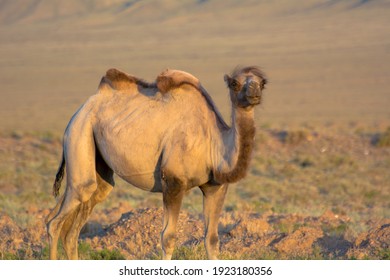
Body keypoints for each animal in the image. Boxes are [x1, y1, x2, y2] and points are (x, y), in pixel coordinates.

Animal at [44, 65, 266, 260]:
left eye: (262, 82)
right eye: (235, 83)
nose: (254, 93)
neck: (214, 144)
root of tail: (81, 109)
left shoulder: (215, 187)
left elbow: (211, 240)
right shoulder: (173, 182)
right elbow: (168, 238)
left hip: (94, 160)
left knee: (73, 223)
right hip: (79, 132)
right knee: (58, 219)